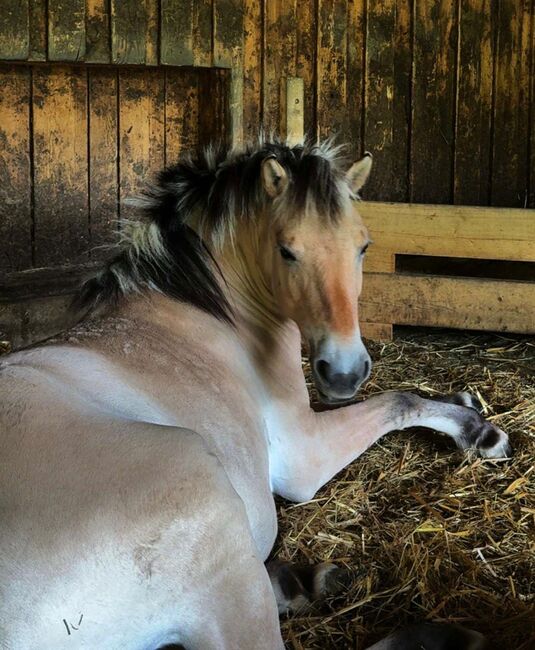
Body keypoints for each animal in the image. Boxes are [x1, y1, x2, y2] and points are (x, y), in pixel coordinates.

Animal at [0, 139, 508, 649]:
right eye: (287, 251)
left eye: (363, 246)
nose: (344, 372)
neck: (208, 313)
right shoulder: (303, 454)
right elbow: (399, 400)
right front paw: (478, 431)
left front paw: (463, 401)